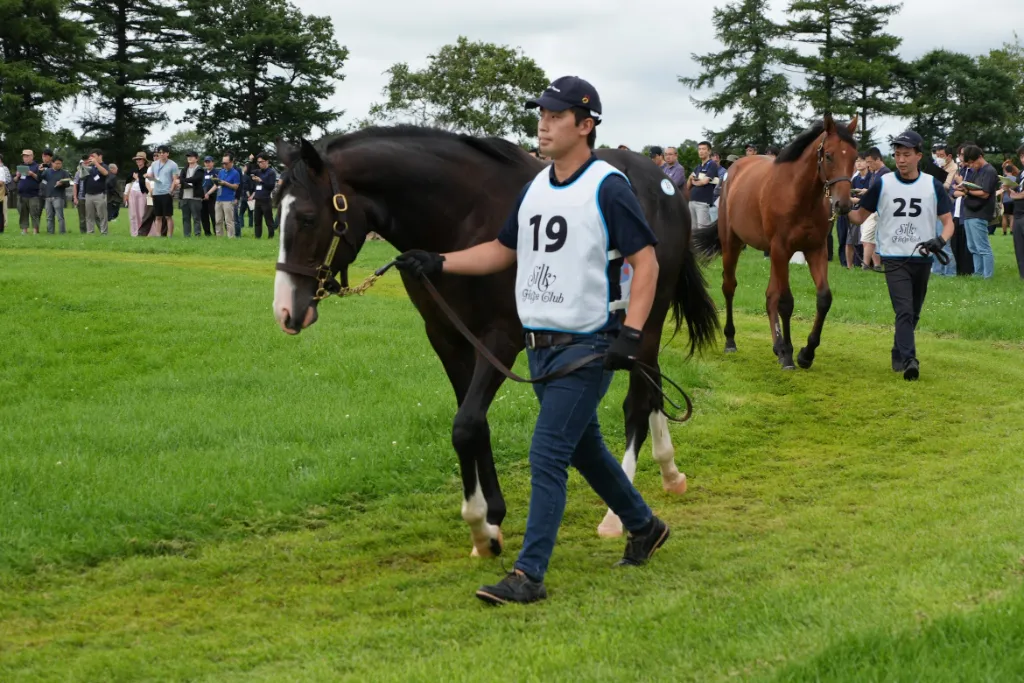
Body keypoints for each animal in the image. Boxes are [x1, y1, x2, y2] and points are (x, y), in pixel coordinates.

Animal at [271, 126, 719, 557]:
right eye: (277, 211)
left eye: (307, 217)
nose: (285, 311)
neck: (463, 218)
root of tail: (662, 182)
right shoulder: (447, 338)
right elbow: (473, 422)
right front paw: (493, 517)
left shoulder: (502, 338)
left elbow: (466, 425)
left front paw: (480, 524)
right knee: (654, 384)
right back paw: (669, 472)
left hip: (648, 317)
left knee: (638, 400)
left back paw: (616, 514)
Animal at [693, 114, 858, 370]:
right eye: (829, 155)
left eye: (854, 157)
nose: (844, 204)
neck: (800, 195)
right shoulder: (781, 249)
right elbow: (786, 302)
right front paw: (789, 354)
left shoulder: (815, 250)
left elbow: (823, 298)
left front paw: (806, 353)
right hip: (732, 244)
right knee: (729, 287)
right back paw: (731, 340)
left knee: (770, 294)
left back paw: (777, 345)